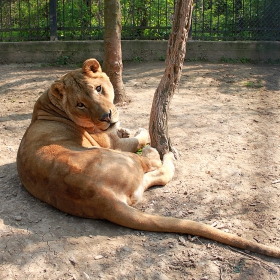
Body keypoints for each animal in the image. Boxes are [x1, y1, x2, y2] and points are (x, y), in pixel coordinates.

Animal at [16, 58, 278, 258]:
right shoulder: (112, 143)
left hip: (133, 186)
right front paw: (140, 131)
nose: (106, 116)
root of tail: (101, 198)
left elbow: (125, 132)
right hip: (120, 158)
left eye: (98, 89)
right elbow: (136, 139)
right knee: (154, 165)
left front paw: (124, 127)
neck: (51, 106)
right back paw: (163, 152)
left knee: (157, 177)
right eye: (80, 104)